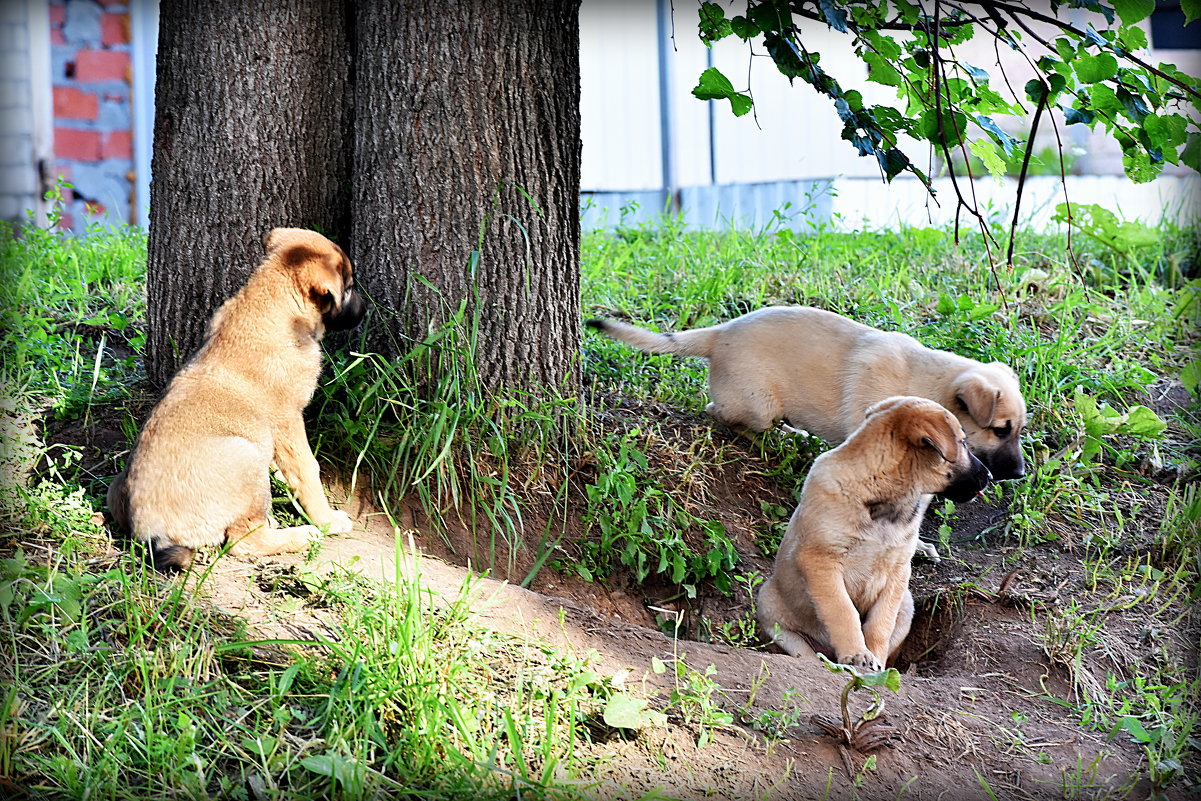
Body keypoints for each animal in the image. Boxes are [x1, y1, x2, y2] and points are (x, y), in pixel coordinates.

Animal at [112, 228, 365, 574]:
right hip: (246, 457)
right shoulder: (287, 420)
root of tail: (146, 531)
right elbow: (307, 470)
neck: (272, 301)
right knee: (242, 542)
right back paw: (302, 534)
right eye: (348, 286)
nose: (366, 309)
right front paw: (327, 519)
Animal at [586, 307, 1028, 480]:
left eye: (1019, 430)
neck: (924, 381)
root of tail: (721, 331)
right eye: (1000, 430)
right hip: (757, 402)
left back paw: (793, 434)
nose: (1022, 474)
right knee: (721, 414)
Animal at [749, 396, 994, 672]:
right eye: (961, 442)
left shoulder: (898, 572)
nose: (990, 476)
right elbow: (843, 611)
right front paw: (856, 653)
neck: (880, 496)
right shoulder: (819, 560)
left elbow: (880, 623)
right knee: (803, 652)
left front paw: (873, 659)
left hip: (906, 603)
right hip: (770, 606)